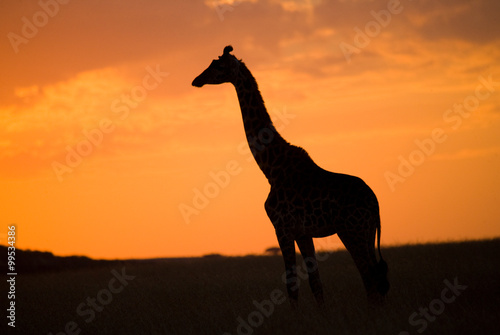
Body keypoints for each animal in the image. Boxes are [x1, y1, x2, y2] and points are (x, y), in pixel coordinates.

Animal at [192, 45, 390, 308]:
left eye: (218, 66)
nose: (196, 80)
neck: (271, 168)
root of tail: (374, 202)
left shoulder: (282, 227)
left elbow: (291, 285)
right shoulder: (303, 232)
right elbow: (316, 284)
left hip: (352, 230)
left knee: (371, 279)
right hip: (366, 232)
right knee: (376, 279)